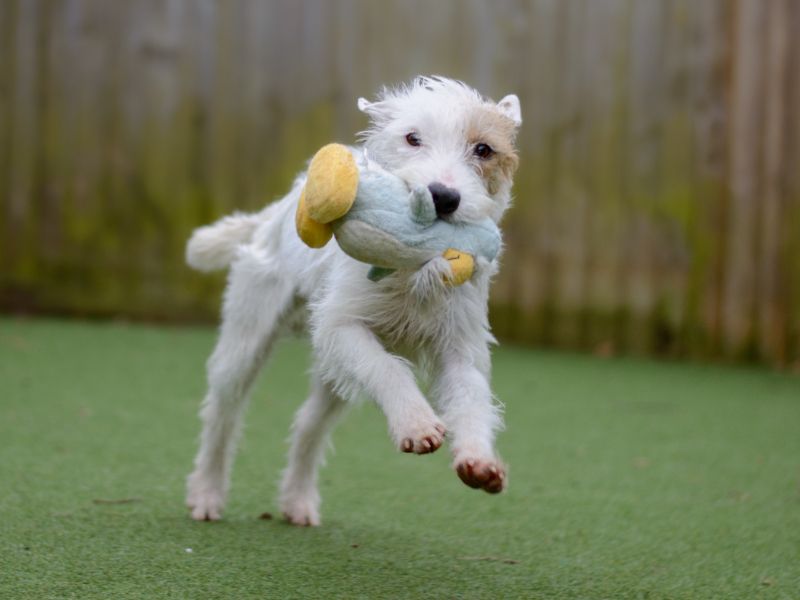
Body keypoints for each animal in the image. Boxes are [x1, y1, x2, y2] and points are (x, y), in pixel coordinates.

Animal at [183, 76, 520, 524]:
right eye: (412, 138)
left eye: (483, 149)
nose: (443, 197)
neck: (419, 269)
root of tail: (274, 212)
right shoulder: (341, 327)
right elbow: (388, 370)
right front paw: (416, 424)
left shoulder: (459, 349)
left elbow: (471, 400)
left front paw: (478, 460)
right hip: (245, 343)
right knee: (223, 413)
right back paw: (207, 492)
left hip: (334, 378)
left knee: (308, 425)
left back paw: (298, 499)